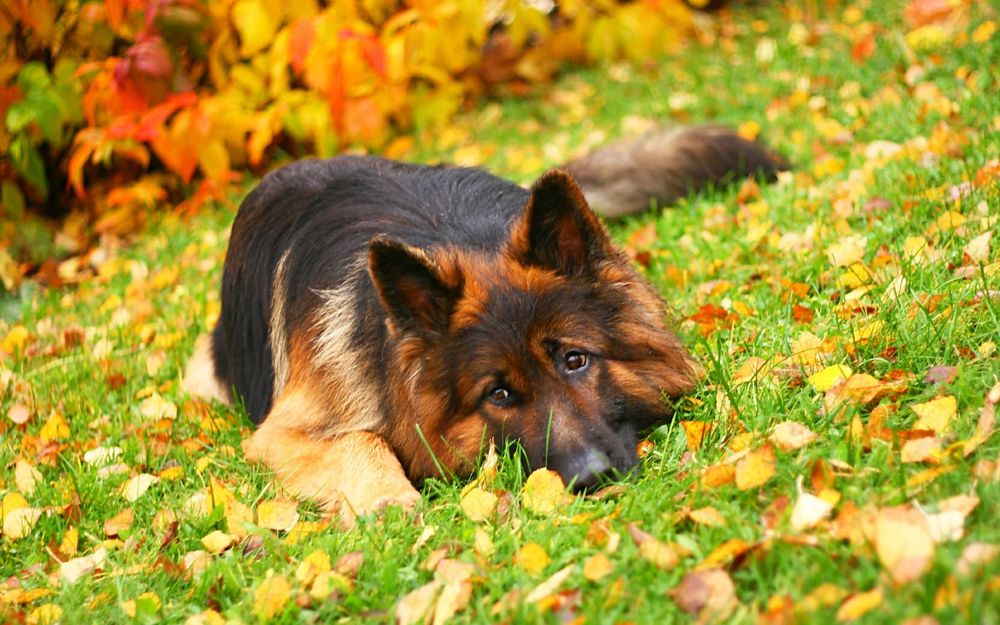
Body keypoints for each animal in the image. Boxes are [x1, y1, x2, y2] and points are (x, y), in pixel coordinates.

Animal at [184, 127, 784, 520]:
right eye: (498, 394)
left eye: (575, 360)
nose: (593, 478)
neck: (460, 236)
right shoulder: (282, 431)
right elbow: (360, 439)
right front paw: (388, 498)